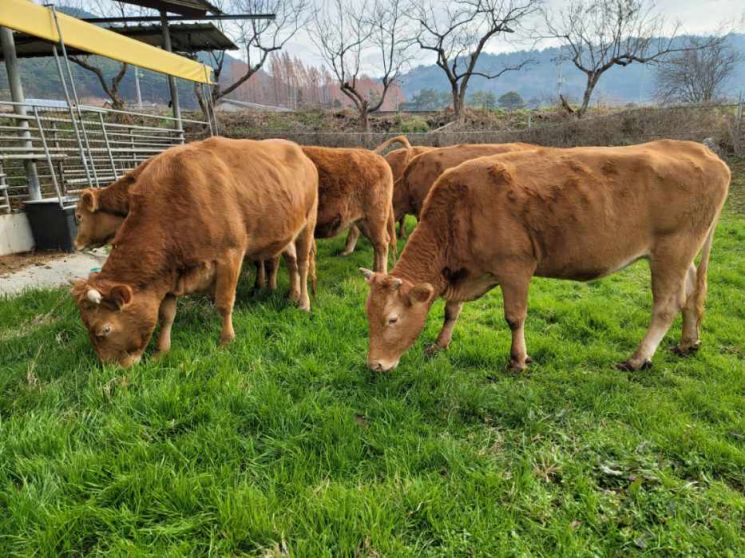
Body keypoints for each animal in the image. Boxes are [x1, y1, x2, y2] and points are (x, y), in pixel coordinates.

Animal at [67, 138, 316, 370]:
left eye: (104, 330)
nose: (110, 369)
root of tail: (299, 151)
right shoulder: (169, 275)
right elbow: (166, 315)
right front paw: (161, 352)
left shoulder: (230, 255)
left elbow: (224, 302)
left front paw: (226, 340)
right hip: (286, 231)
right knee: (291, 260)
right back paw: (291, 294)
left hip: (308, 223)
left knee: (303, 263)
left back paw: (303, 302)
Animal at [360, 140, 728, 374]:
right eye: (368, 315)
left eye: (392, 319)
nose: (375, 364)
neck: (461, 210)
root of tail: (704, 152)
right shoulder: (466, 271)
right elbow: (452, 310)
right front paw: (439, 344)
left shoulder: (515, 267)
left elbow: (514, 317)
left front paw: (518, 360)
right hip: (683, 254)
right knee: (692, 293)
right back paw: (688, 342)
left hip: (672, 251)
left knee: (667, 305)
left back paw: (638, 359)